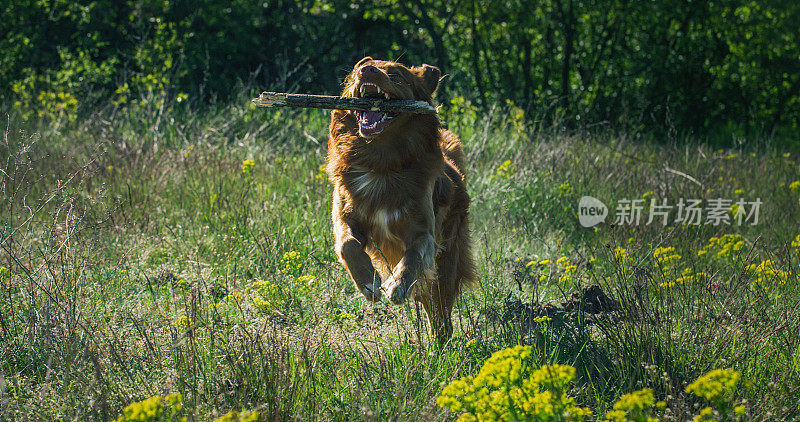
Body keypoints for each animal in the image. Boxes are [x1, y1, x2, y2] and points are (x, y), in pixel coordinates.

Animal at [326, 56, 476, 340]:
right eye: (358, 69)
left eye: (395, 75)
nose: (366, 70)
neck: (382, 163)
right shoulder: (344, 217)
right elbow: (348, 245)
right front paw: (369, 281)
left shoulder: (424, 232)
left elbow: (414, 255)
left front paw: (396, 284)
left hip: (446, 260)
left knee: (440, 310)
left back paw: (440, 343)